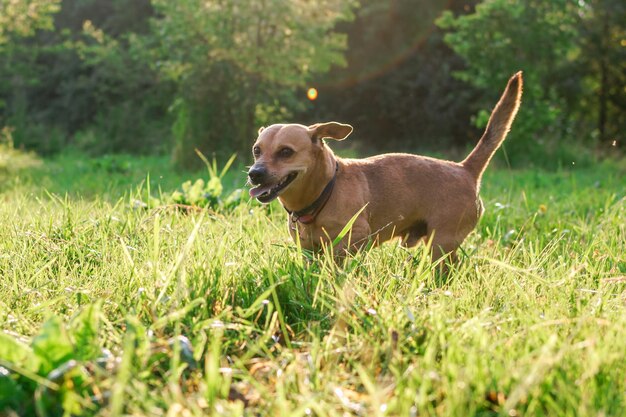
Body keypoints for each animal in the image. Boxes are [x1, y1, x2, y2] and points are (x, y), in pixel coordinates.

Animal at [246, 71, 520, 260]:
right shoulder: (307, 252)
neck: (325, 193)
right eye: (256, 150)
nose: (254, 173)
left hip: (441, 244)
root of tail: (464, 169)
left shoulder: (357, 237)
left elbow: (335, 260)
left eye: (286, 152)